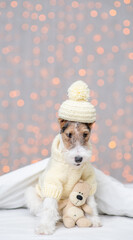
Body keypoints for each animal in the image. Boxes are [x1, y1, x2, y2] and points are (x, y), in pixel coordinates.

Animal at [25, 80, 101, 234]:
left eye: (85, 134)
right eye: (69, 134)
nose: (78, 159)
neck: (71, 166)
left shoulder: (89, 179)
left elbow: (91, 202)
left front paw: (94, 219)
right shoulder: (53, 183)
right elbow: (49, 207)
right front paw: (45, 227)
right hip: (32, 194)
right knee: (42, 209)